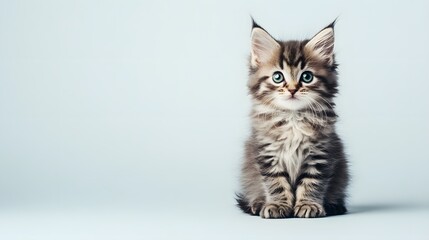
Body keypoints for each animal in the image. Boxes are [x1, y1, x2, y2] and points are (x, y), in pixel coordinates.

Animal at [236, 20, 350, 218]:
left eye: (307, 76)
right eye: (277, 77)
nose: (292, 89)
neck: (293, 118)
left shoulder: (319, 153)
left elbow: (312, 182)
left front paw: (308, 205)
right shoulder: (267, 153)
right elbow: (276, 184)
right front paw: (277, 205)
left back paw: (333, 205)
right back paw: (257, 204)